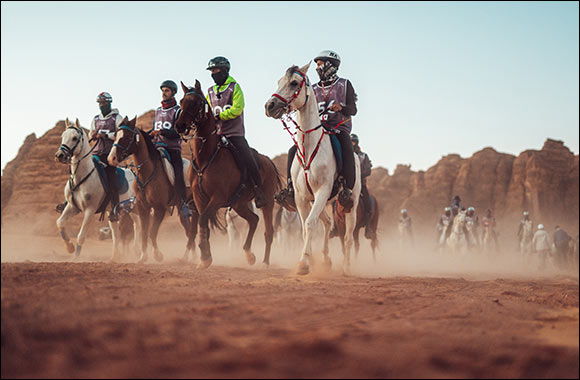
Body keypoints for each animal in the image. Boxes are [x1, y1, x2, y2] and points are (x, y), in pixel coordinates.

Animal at [54, 118, 140, 262]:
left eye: (74, 138)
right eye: (62, 136)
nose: (59, 155)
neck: (81, 177)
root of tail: (134, 173)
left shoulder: (90, 210)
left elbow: (81, 235)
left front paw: (75, 257)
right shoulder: (72, 207)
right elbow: (60, 223)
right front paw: (69, 247)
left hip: (134, 209)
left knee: (137, 226)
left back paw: (136, 251)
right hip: (112, 211)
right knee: (116, 233)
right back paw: (115, 257)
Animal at [105, 117, 194, 262]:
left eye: (127, 137)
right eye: (115, 135)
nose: (111, 158)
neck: (147, 173)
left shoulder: (159, 209)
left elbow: (152, 232)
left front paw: (157, 255)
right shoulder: (143, 208)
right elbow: (145, 232)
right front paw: (143, 257)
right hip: (181, 208)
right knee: (188, 229)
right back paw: (190, 257)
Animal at [173, 80, 282, 270]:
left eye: (197, 103)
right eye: (181, 101)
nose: (180, 126)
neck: (206, 157)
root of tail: (268, 161)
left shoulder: (217, 198)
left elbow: (203, 220)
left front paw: (205, 257)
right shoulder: (200, 199)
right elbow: (202, 224)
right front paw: (205, 256)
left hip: (267, 203)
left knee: (268, 232)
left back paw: (265, 263)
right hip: (239, 204)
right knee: (253, 220)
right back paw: (248, 255)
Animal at [266, 62, 360, 276]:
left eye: (294, 82)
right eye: (279, 81)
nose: (270, 106)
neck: (310, 148)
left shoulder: (322, 192)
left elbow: (310, 223)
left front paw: (304, 264)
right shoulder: (301, 197)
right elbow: (305, 227)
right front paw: (308, 260)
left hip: (351, 204)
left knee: (348, 236)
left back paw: (347, 267)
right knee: (327, 223)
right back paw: (325, 259)